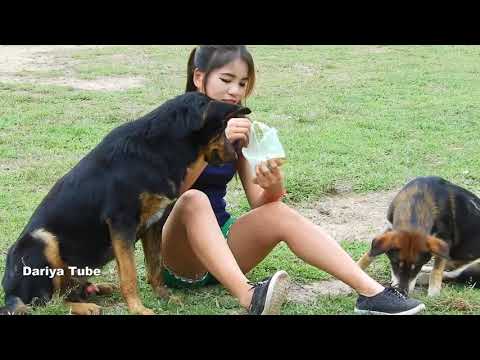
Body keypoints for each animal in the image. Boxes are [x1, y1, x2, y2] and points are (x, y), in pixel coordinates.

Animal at [0, 93, 248, 316]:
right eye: (222, 128)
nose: (236, 155)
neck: (158, 149)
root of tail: (10, 295)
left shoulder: (153, 224)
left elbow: (155, 266)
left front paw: (163, 296)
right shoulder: (122, 223)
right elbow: (129, 275)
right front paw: (138, 309)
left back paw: (96, 288)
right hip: (42, 240)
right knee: (45, 303)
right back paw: (85, 306)